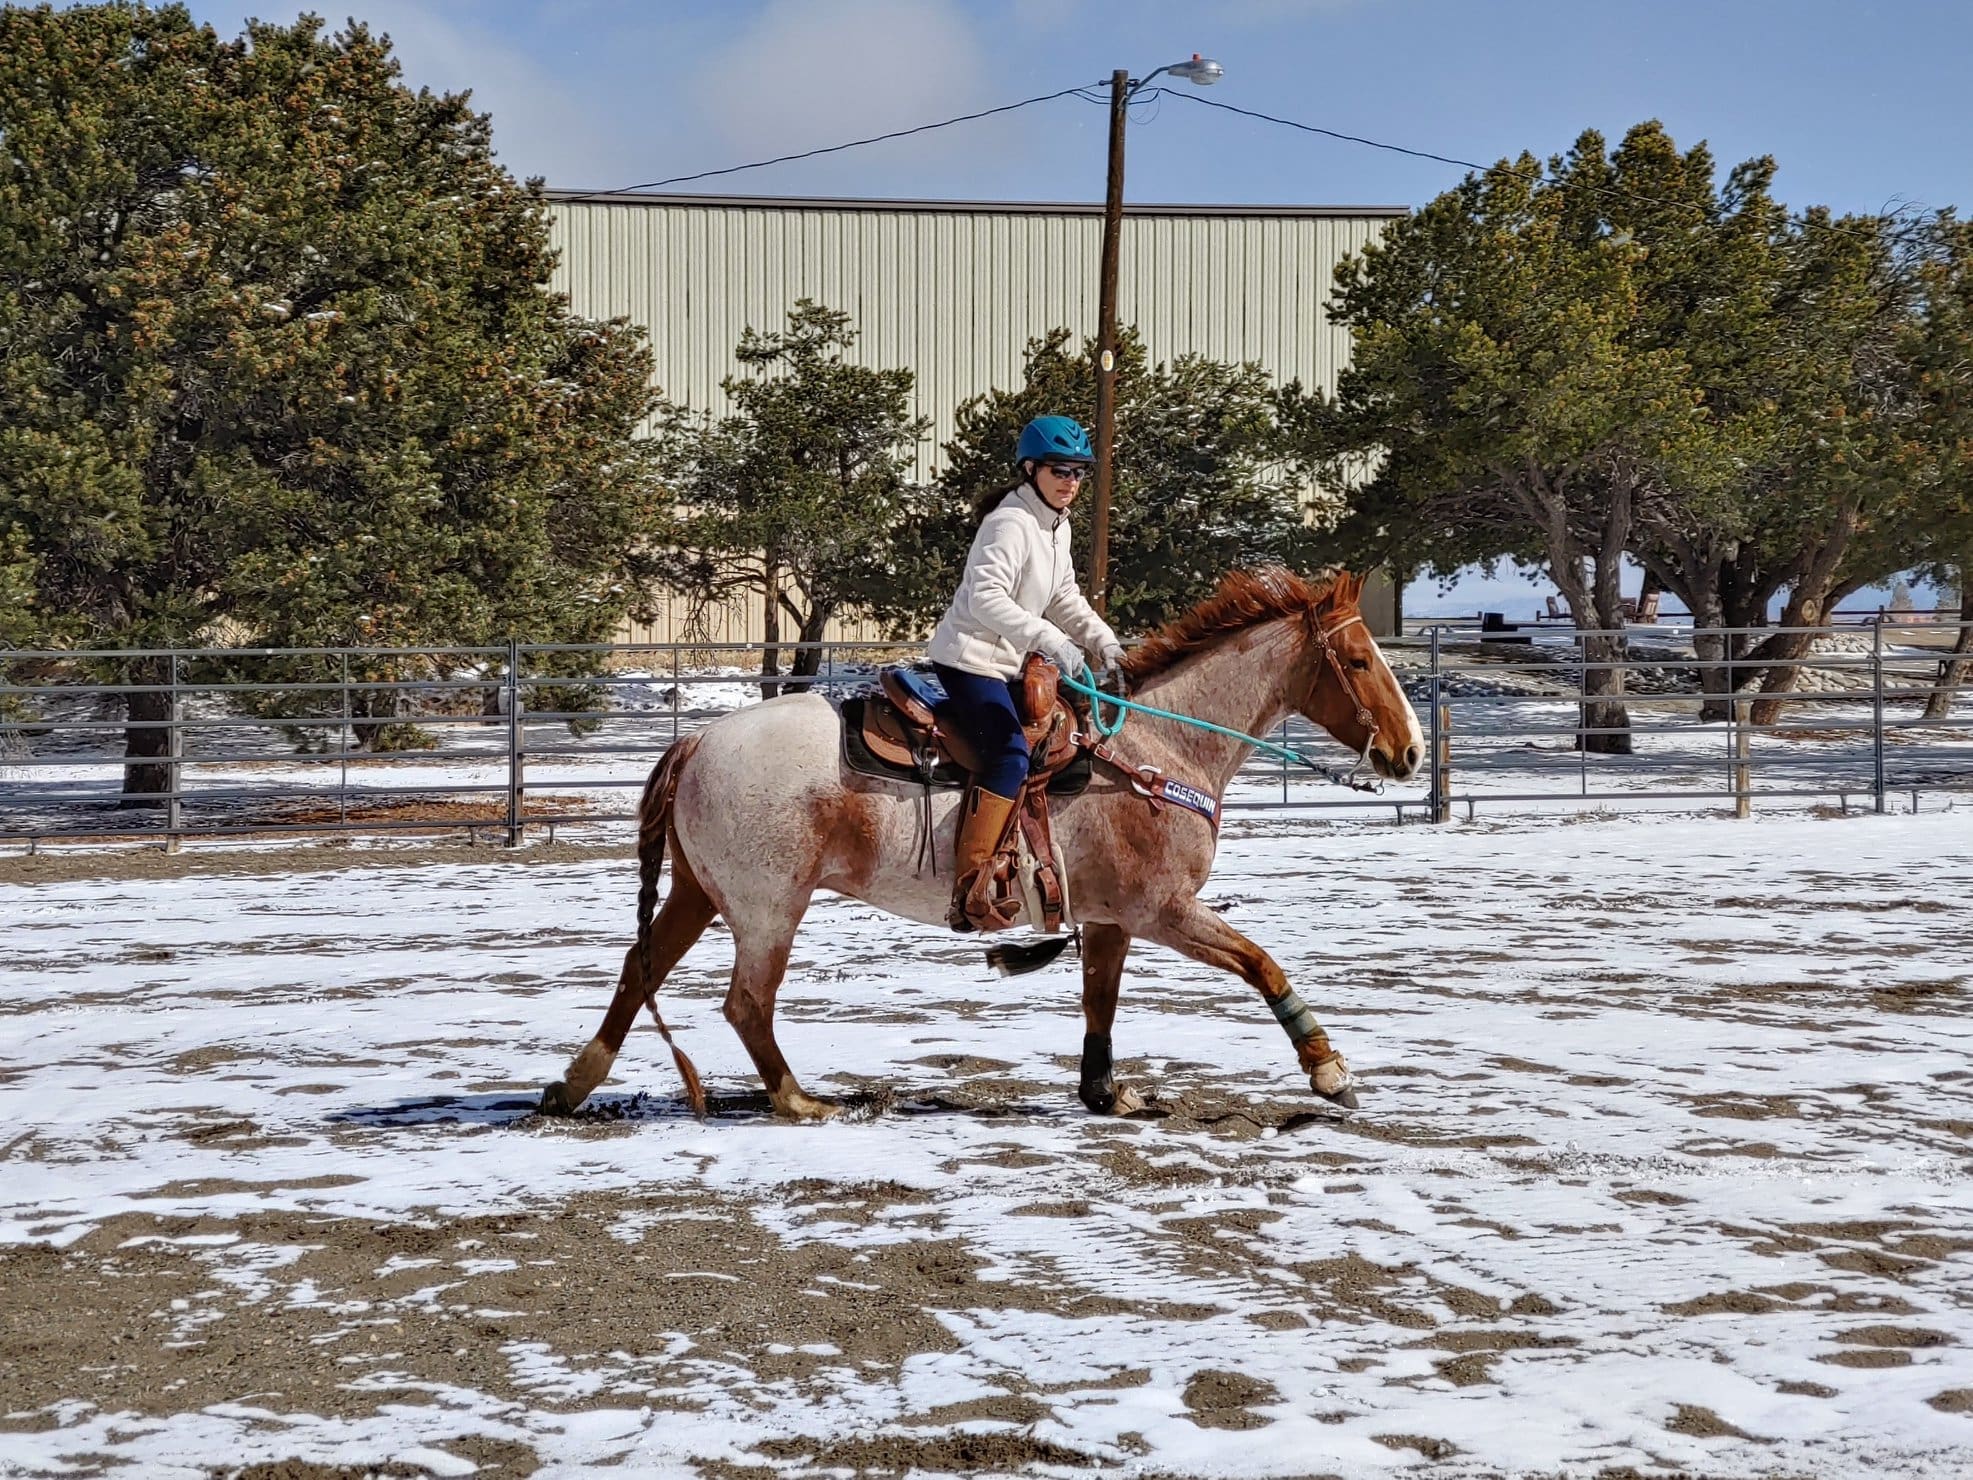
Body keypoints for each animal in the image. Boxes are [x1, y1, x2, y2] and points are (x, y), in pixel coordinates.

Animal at [544, 572, 1420, 1120]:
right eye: (1356, 659)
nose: (1407, 752)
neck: (1158, 752)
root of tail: (696, 740)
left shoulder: (1111, 918)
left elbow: (1099, 1000)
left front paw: (1106, 1093)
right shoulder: (1165, 910)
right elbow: (1260, 963)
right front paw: (1330, 1073)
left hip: (699, 891)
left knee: (639, 971)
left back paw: (572, 1085)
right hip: (767, 908)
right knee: (746, 1003)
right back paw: (800, 1101)